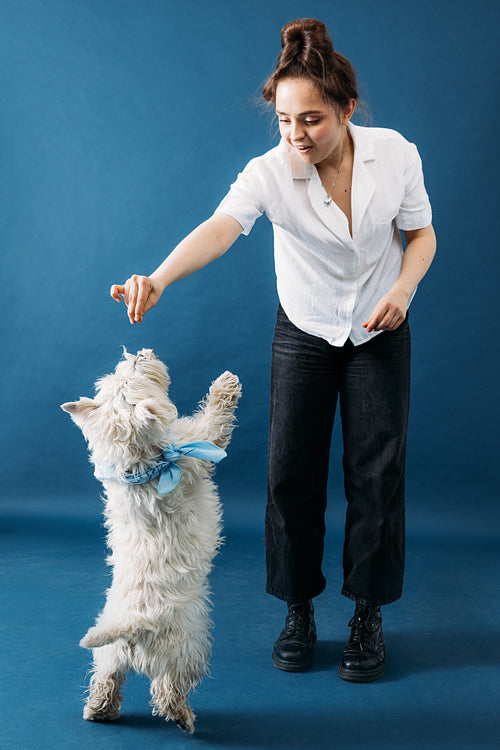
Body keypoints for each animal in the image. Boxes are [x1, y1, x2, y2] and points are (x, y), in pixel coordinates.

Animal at [61, 352, 241, 736]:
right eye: (133, 372)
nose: (141, 354)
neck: (141, 466)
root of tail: (132, 625)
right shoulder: (199, 444)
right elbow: (215, 419)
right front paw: (225, 384)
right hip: (187, 648)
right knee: (167, 688)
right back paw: (184, 719)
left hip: (111, 654)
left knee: (106, 679)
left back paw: (98, 711)